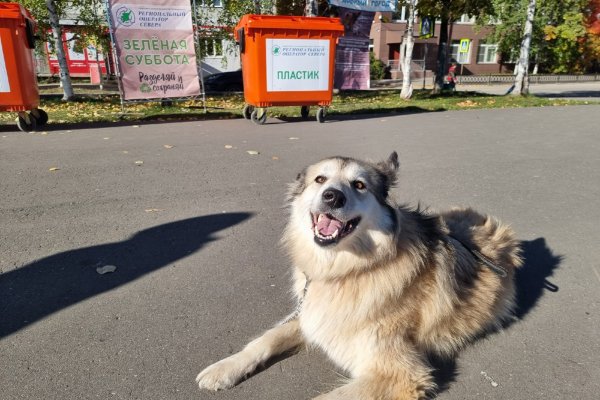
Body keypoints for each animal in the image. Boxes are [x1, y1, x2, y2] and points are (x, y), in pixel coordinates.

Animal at [196, 153, 520, 400]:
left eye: (360, 185)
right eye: (320, 179)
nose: (332, 197)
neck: (350, 270)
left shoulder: (398, 373)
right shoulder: (314, 314)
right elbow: (266, 338)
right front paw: (224, 368)